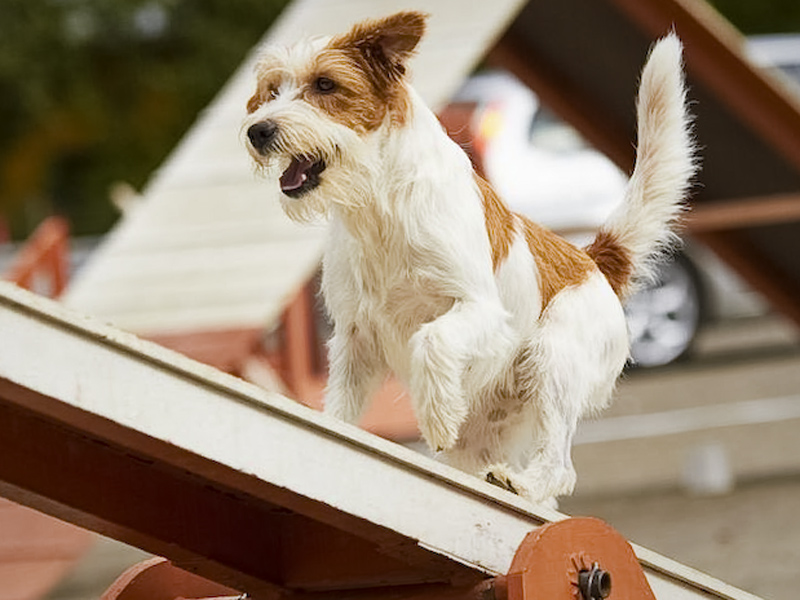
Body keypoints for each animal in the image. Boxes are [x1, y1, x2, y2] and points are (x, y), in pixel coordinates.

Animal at [244, 11, 692, 504]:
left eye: (325, 84)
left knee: (560, 466)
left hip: (552, 360)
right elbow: (340, 410)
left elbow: (432, 339)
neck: (380, 206)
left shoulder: (483, 312)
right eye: (272, 91)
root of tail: (591, 260)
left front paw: (438, 415)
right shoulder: (355, 337)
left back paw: (522, 482)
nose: (258, 131)